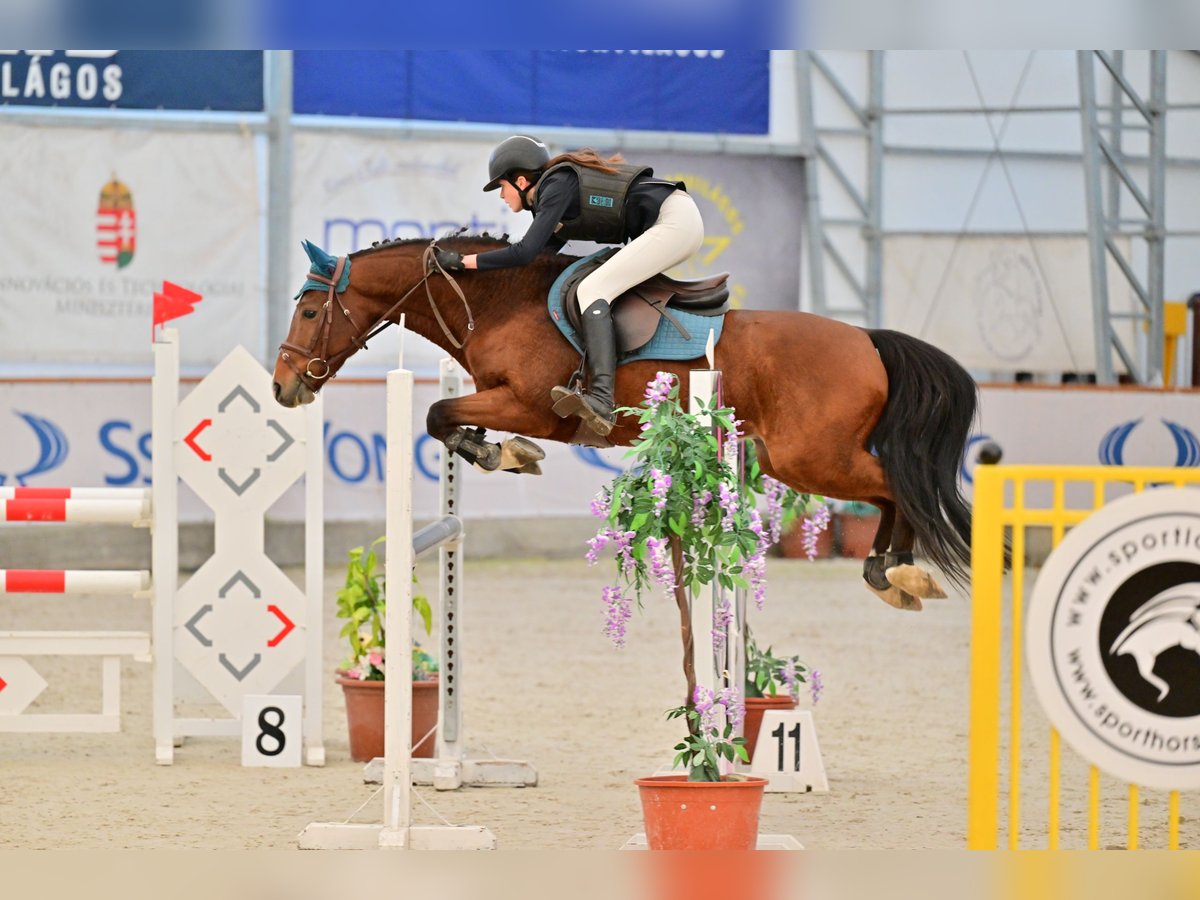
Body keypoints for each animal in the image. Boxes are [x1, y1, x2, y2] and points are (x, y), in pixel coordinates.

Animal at [270, 236, 974, 614]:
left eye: (309, 311)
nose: (283, 386)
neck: (497, 302)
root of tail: (868, 340)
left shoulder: (528, 403)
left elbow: (438, 413)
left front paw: (505, 453)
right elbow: (445, 418)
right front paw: (505, 453)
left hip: (812, 456)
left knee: (897, 485)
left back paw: (899, 571)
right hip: (791, 457)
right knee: (894, 490)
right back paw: (891, 572)